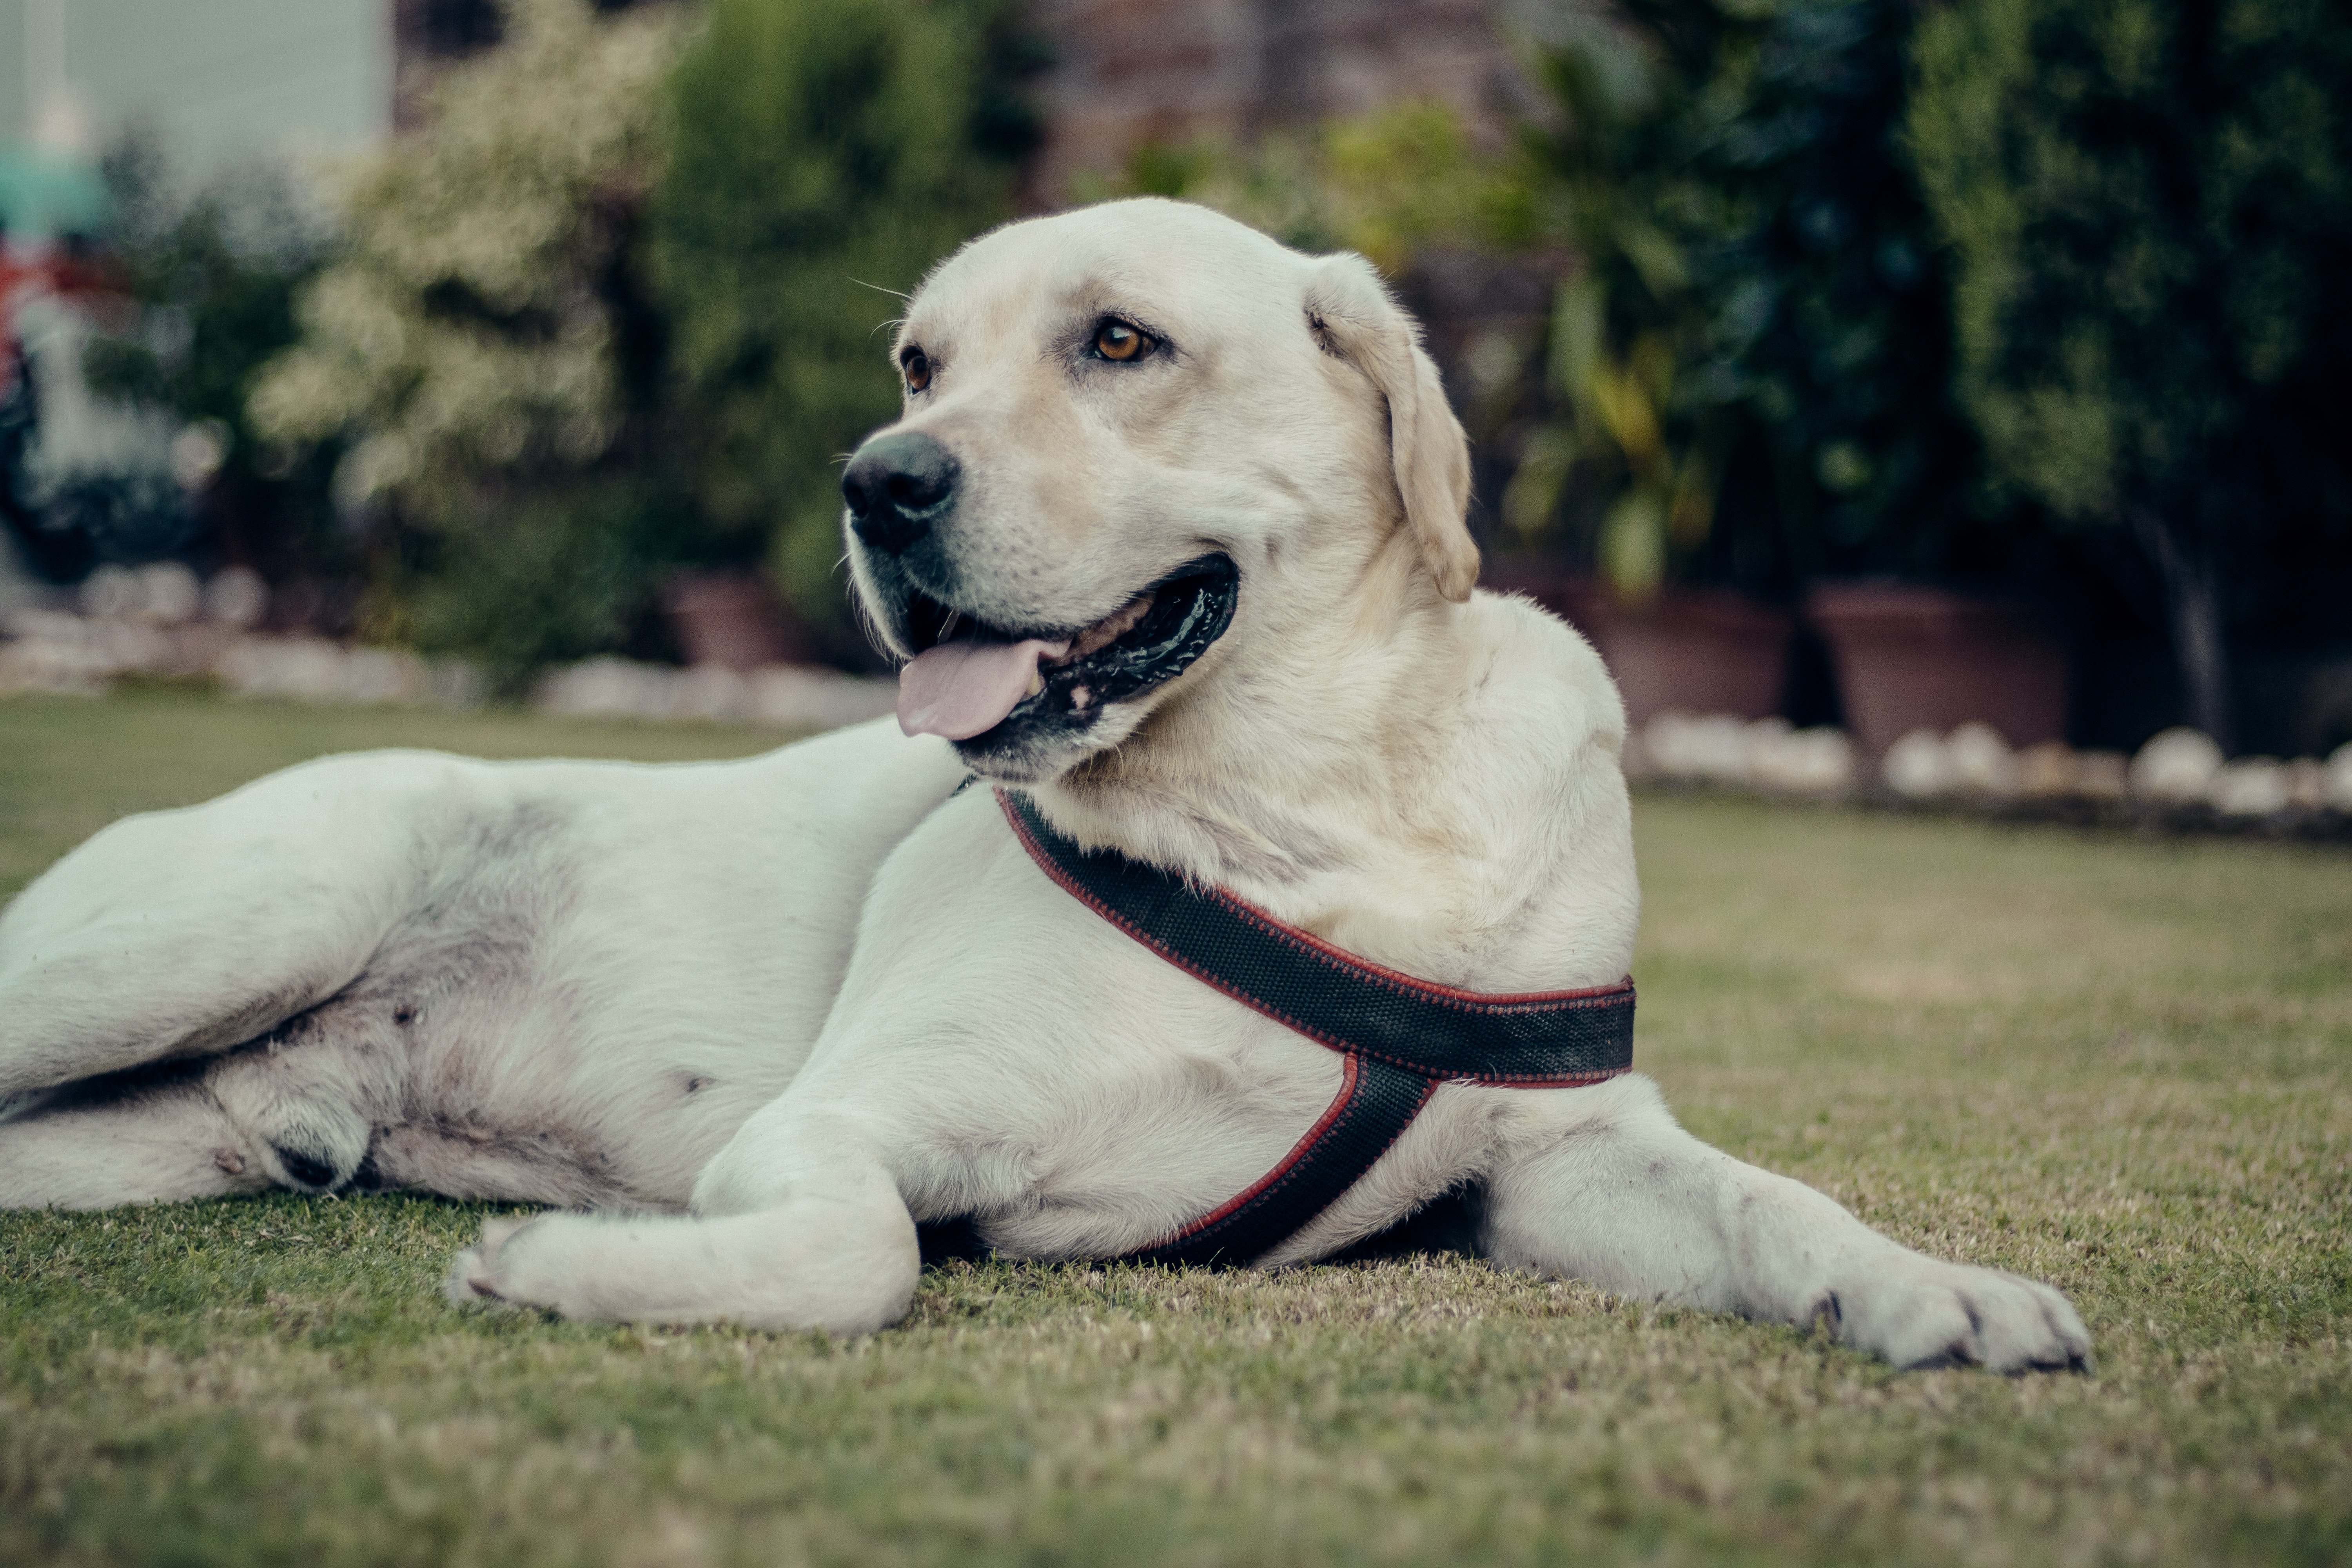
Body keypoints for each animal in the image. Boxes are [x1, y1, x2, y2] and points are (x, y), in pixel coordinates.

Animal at [0, 200, 2098, 1373]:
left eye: (1119, 341)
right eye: (919, 361)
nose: (878, 481)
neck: (1312, 811)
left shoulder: (1567, 1154)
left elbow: (1779, 1202)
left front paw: (1934, 1291)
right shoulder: (842, 1124)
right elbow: (858, 1256)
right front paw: (566, 1267)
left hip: (177, 1119)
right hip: (264, 902)